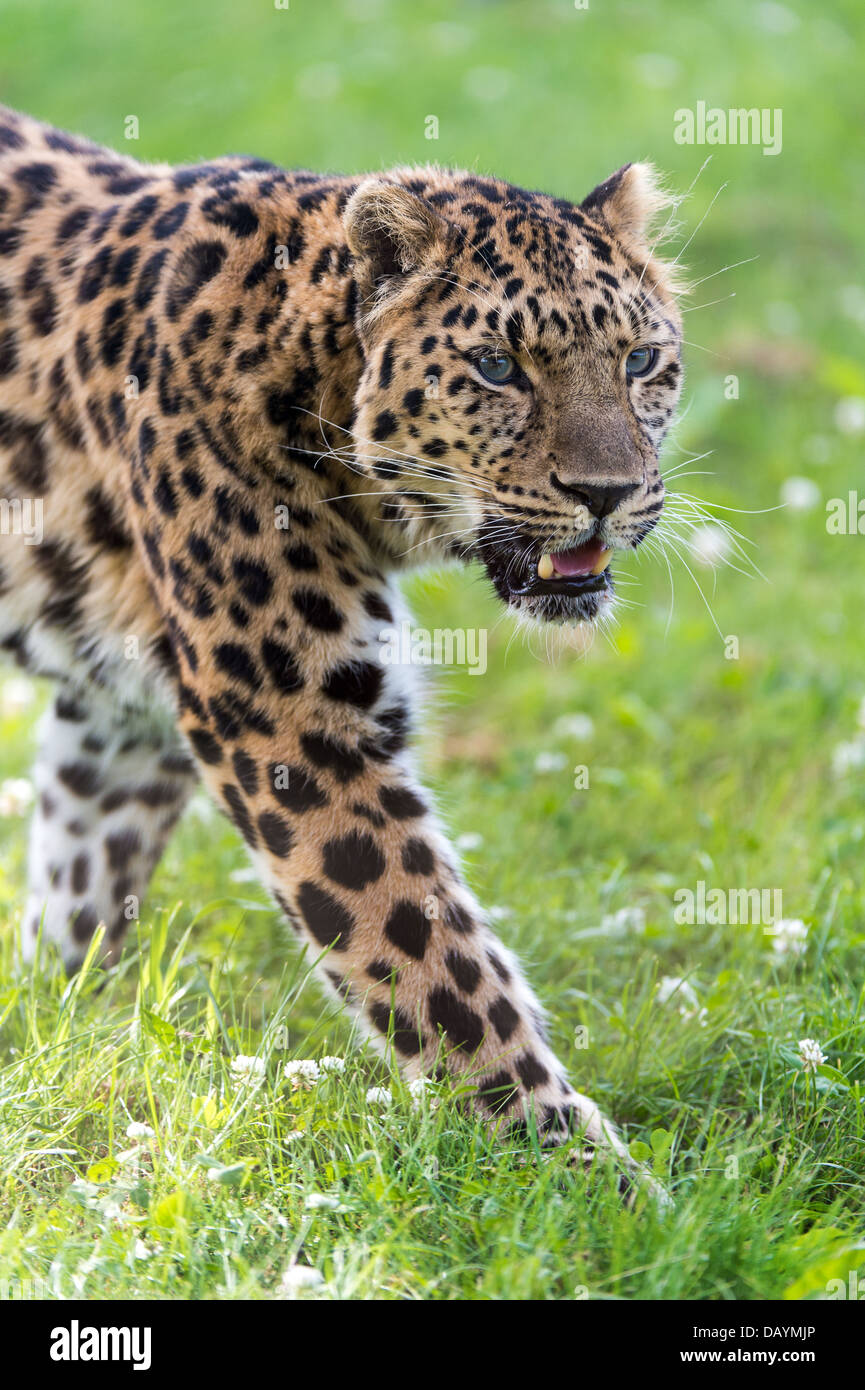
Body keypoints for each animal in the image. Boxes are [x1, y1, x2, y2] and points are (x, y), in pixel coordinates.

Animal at [0, 102, 686, 1178]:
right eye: (498, 368)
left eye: (640, 362)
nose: (608, 494)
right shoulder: (299, 731)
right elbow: (443, 977)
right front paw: (579, 1177)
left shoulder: (125, 709)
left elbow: (83, 870)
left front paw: (50, 1019)